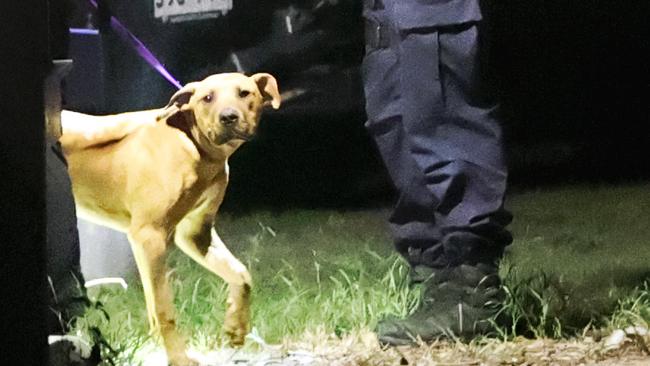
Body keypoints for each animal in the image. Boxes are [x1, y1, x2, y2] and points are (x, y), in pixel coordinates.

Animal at [60, 73, 280, 364]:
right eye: (207, 97)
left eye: (244, 93)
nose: (228, 117)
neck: (195, 147)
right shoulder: (149, 237)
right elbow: (163, 310)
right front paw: (178, 357)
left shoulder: (196, 233)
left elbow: (241, 274)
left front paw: (236, 327)